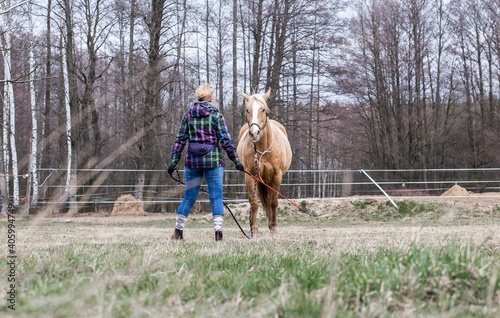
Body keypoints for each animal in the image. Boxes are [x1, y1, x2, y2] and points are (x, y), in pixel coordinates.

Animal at [236, 88, 292, 235]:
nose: (254, 133)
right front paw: (254, 228)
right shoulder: (251, 176)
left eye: (263, 110)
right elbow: (254, 203)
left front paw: (274, 226)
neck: (263, 148)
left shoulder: (277, 176)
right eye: (247, 110)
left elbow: (273, 202)